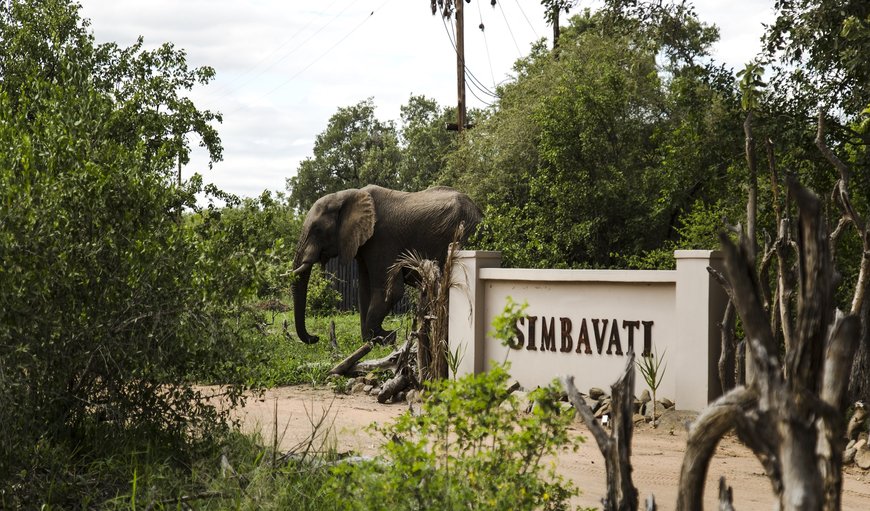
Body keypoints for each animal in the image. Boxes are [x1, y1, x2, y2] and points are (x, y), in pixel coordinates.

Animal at [292, 184, 484, 344]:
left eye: (317, 230)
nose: (315, 338)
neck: (348, 195)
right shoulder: (365, 243)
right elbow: (365, 290)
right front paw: (370, 340)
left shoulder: (382, 238)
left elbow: (390, 291)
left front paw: (385, 338)